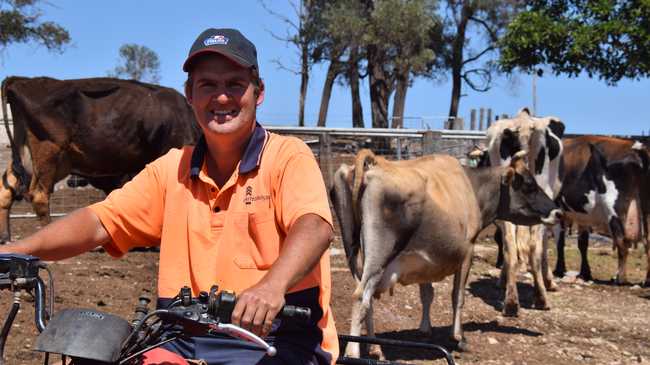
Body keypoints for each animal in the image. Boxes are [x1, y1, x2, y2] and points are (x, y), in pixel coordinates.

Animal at [0, 76, 197, 242]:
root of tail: (21, 80)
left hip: (26, 155)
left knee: (6, 190)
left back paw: (5, 238)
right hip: (48, 151)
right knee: (39, 195)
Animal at [330, 147, 560, 356]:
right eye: (529, 186)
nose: (558, 212)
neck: (472, 187)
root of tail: (375, 162)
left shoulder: (424, 258)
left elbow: (427, 293)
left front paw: (425, 329)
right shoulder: (468, 250)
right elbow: (457, 295)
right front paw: (458, 337)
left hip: (355, 254)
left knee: (365, 297)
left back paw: (375, 348)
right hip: (380, 255)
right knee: (360, 297)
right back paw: (353, 352)